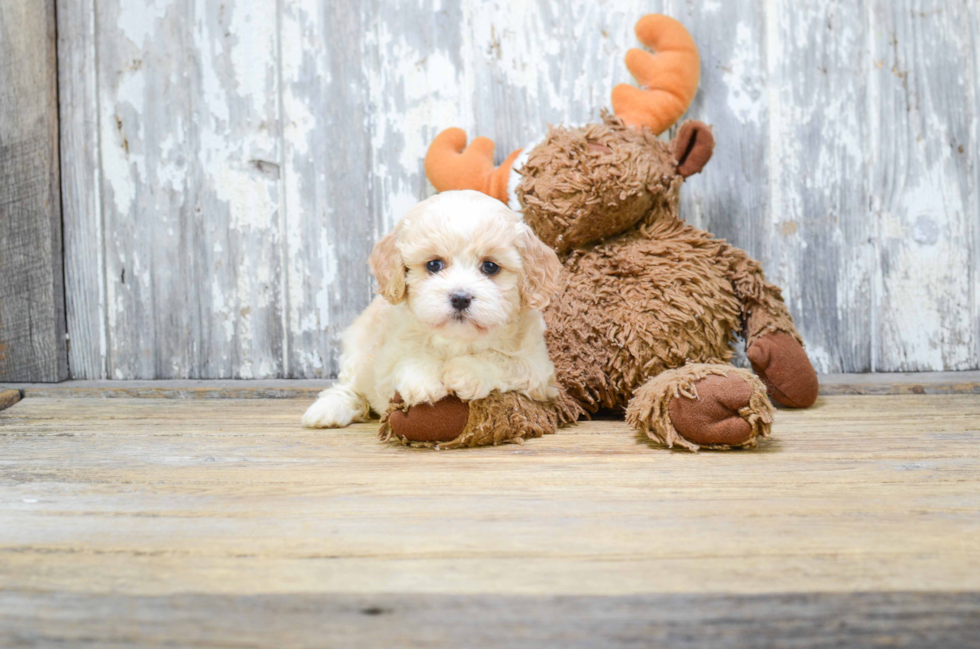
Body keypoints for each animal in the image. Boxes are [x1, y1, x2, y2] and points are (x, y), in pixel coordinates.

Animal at [300, 190, 560, 428]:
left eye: (490, 266)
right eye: (433, 264)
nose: (460, 298)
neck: (457, 340)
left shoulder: (538, 369)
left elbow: (501, 359)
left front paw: (465, 372)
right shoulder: (388, 357)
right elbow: (407, 359)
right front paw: (422, 380)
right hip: (358, 351)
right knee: (349, 386)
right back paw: (327, 410)